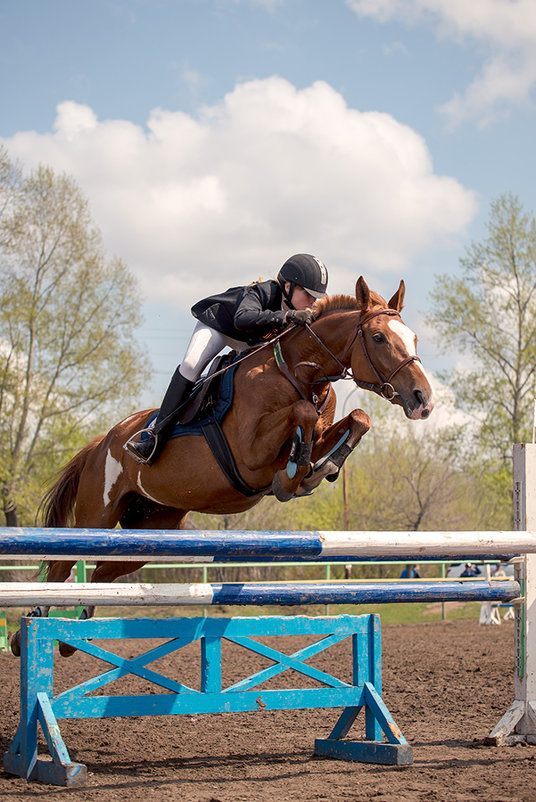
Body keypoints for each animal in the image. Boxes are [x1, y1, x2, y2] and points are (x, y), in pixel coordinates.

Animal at [10, 274, 434, 648]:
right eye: (378, 337)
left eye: (413, 338)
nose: (423, 400)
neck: (296, 371)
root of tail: (102, 442)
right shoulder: (250, 456)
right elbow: (300, 418)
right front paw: (294, 477)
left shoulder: (316, 431)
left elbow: (357, 418)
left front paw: (320, 469)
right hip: (96, 515)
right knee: (63, 566)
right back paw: (26, 631)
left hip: (153, 530)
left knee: (101, 572)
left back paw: (73, 632)